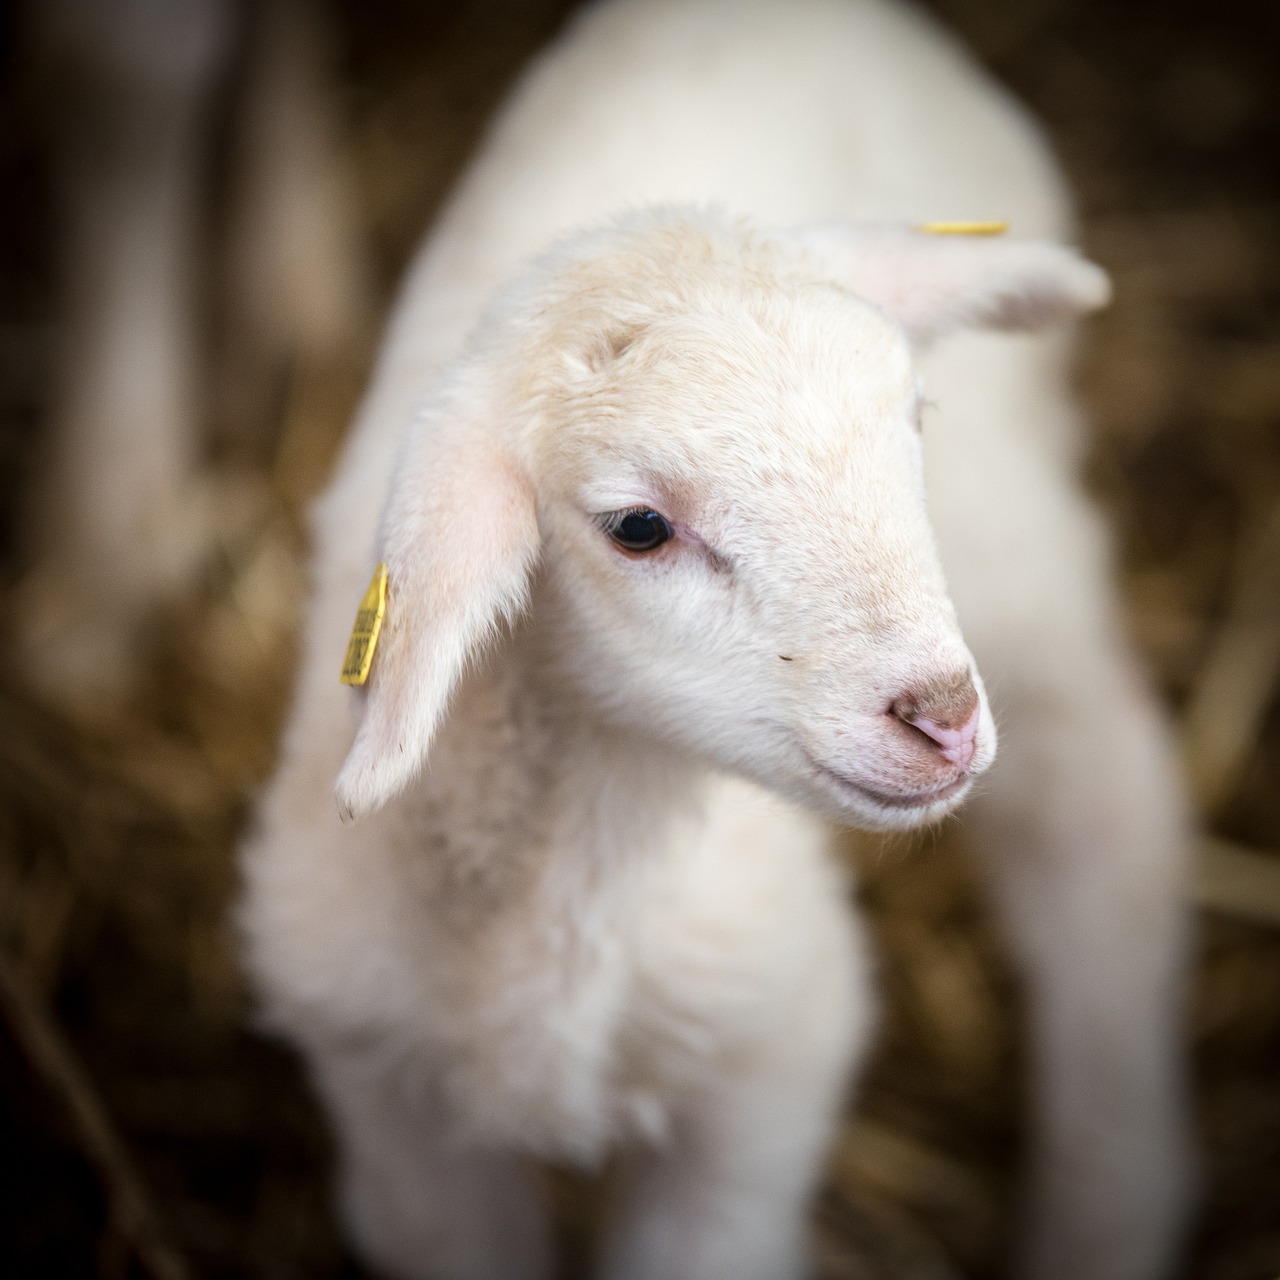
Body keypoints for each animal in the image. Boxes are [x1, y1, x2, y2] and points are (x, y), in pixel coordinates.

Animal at [238, 2, 1187, 1280]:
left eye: (914, 416)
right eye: (637, 527)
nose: (939, 717)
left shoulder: (766, 1064)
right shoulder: (392, 1110)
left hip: (1013, 558)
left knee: (1104, 810)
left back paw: (1106, 1208)